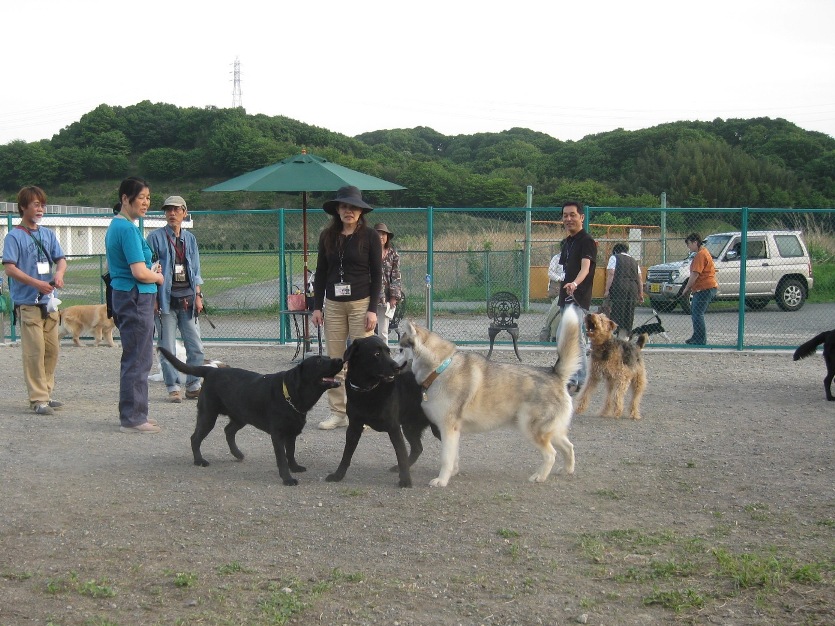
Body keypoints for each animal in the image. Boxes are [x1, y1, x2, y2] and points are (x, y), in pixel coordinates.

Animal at [158, 346, 344, 482]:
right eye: (319, 361)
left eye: (327, 357)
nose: (340, 359)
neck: (291, 394)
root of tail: (211, 371)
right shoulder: (278, 435)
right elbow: (282, 458)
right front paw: (287, 478)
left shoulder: (292, 433)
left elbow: (290, 453)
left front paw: (295, 468)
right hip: (208, 415)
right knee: (195, 438)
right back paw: (199, 461)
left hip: (240, 416)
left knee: (228, 431)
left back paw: (237, 454)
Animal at [326, 336, 440, 488]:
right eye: (377, 354)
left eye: (388, 351)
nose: (397, 367)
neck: (368, 391)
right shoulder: (354, 427)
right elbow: (346, 454)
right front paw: (338, 475)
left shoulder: (394, 428)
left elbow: (401, 454)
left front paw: (405, 480)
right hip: (409, 427)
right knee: (417, 448)